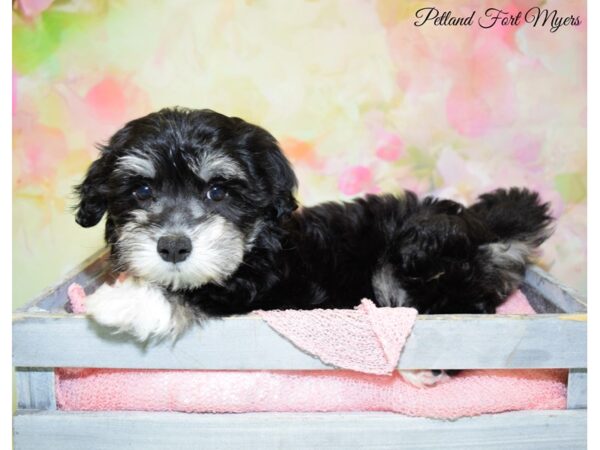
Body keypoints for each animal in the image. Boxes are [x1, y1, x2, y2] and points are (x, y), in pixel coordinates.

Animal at [75, 108, 552, 386]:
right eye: (141, 190)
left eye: (217, 191)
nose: (173, 247)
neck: (258, 244)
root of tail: (485, 229)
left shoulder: (266, 290)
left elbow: (202, 292)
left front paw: (125, 301)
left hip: (417, 255)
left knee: (464, 313)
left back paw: (425, 366)